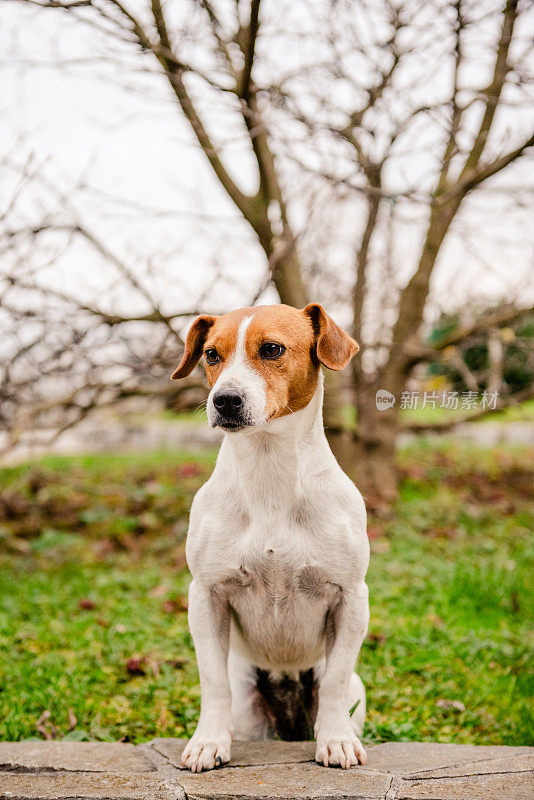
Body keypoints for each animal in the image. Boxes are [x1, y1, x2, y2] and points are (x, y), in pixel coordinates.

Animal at [172, 304, 368, 772]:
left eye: (272, 349)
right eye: (211, 354)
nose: (224, 399)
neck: (269, 473)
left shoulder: (352, 597)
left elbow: (334, 682)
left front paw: (335, 741)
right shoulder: (205, 596)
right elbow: (212, 680)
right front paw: (207, 742)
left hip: (357, 689)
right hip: (249, 707)